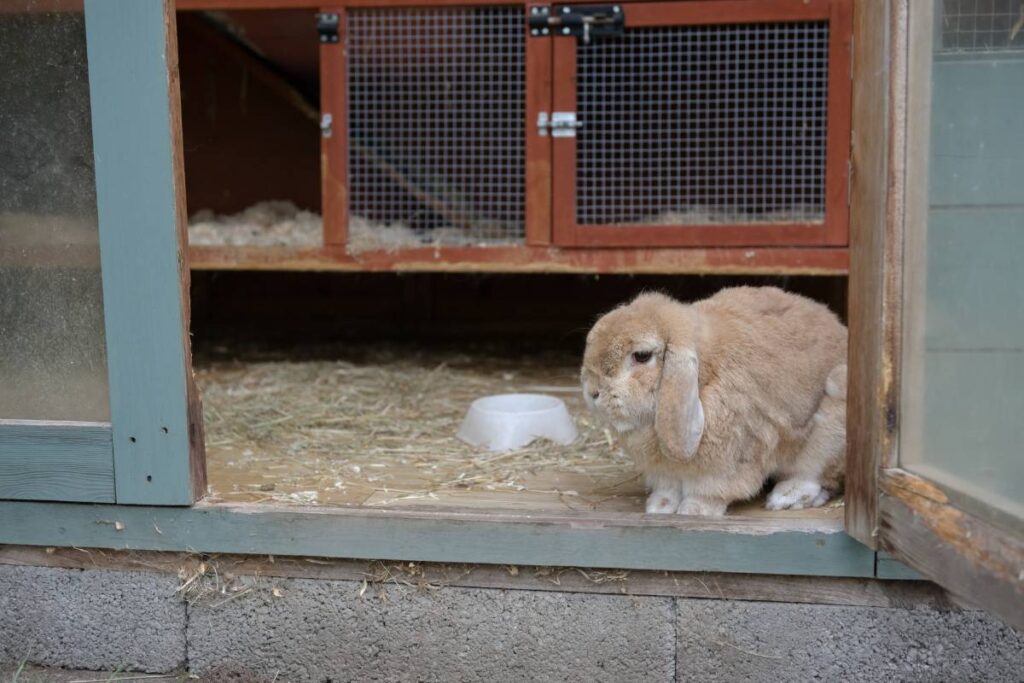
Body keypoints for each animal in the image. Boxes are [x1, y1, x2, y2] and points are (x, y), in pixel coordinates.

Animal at [581, 287, 847, 516]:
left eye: (642, 356)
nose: (592, 392)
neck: (703, 377)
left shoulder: (729, 462)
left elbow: (709, 491)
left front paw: (693, 510)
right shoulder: (664, 473)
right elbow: (668, 488)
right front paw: (660, 506)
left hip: (828, 432)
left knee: (816, 476)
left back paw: (786, 497)